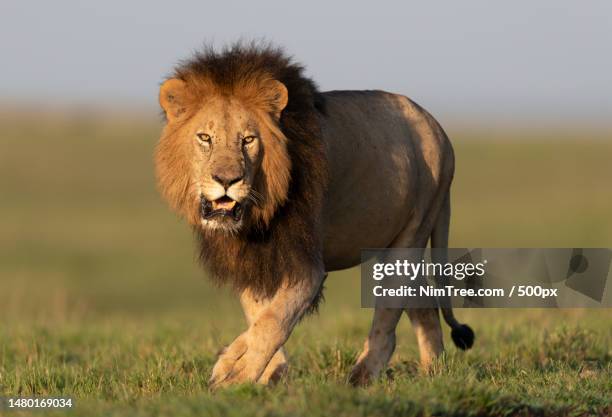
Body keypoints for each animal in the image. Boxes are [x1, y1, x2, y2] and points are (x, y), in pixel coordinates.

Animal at [153, 42, 474, 386]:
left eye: (248, 140)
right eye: (205, 138)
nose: (227, 181)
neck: (257, 215)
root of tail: (438, 127)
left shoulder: (307, 266)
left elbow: (273, 321)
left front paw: (234, 372)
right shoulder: (250, 257)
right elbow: (259, 314)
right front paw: (268, 371)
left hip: (412, 232)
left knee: (387, 319)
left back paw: (362, 376)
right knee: (422, 303)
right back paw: (433, 372)